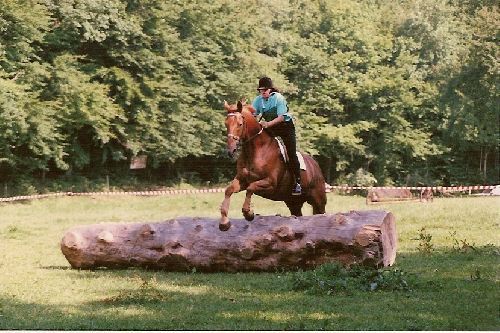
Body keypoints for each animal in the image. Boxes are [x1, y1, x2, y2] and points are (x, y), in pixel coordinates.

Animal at [220, 99, 328, 231]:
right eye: (226, 124)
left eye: (240, 124)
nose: (231, 150)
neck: (256, 150)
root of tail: (315, 165)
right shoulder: (242, 180)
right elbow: (229, 190)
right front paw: (224, 222)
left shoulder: (270, 183)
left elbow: (251, 188)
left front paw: (249, 214)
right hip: (293, 202)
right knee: (297, 214)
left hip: (318, 199)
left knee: (321, 212)